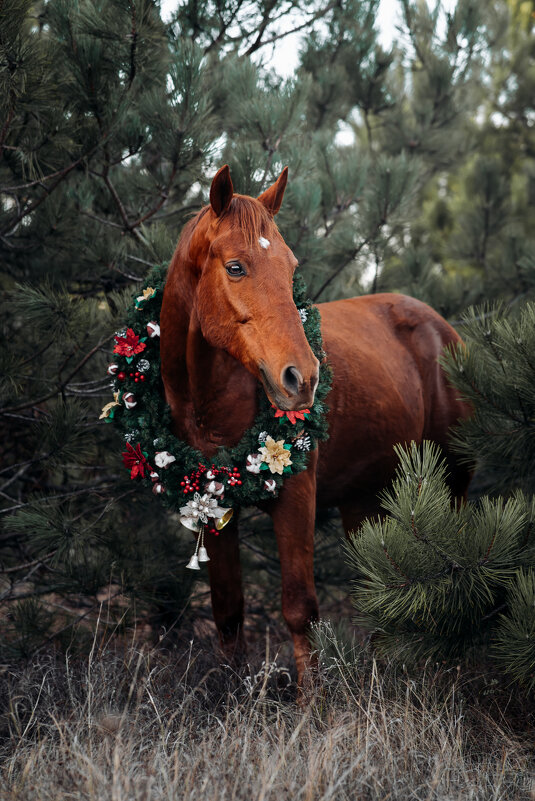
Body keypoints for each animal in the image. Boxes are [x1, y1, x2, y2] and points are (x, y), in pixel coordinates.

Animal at [158, 164, 468, 688]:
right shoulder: (213, 504)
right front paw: (231, 696)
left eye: (291, 268)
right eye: (235, 267)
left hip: (454, 479)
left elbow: (300, 610)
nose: (302, 378)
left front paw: (312, 705)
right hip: (365, 499)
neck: (210, 401)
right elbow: (228, 611)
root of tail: (441, 326)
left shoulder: (297, 496)